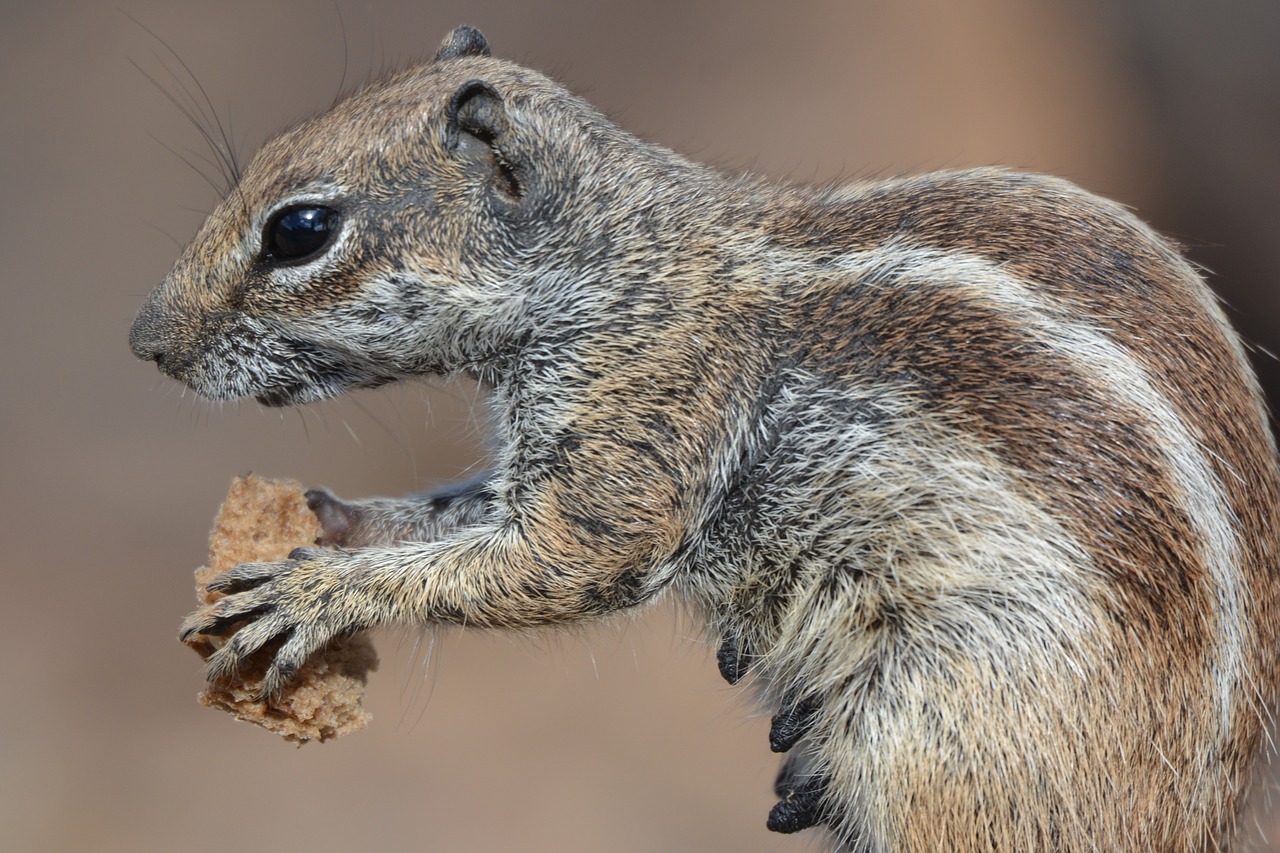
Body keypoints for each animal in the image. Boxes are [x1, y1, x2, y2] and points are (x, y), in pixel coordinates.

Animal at [129, 26, 1280, 850]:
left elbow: (557, 561)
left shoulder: (640, 421)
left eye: (300, 231)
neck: (614, 262)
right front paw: (335, 520)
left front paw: (319, 593)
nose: (147, 341)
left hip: (938, 735)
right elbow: (461, 512)